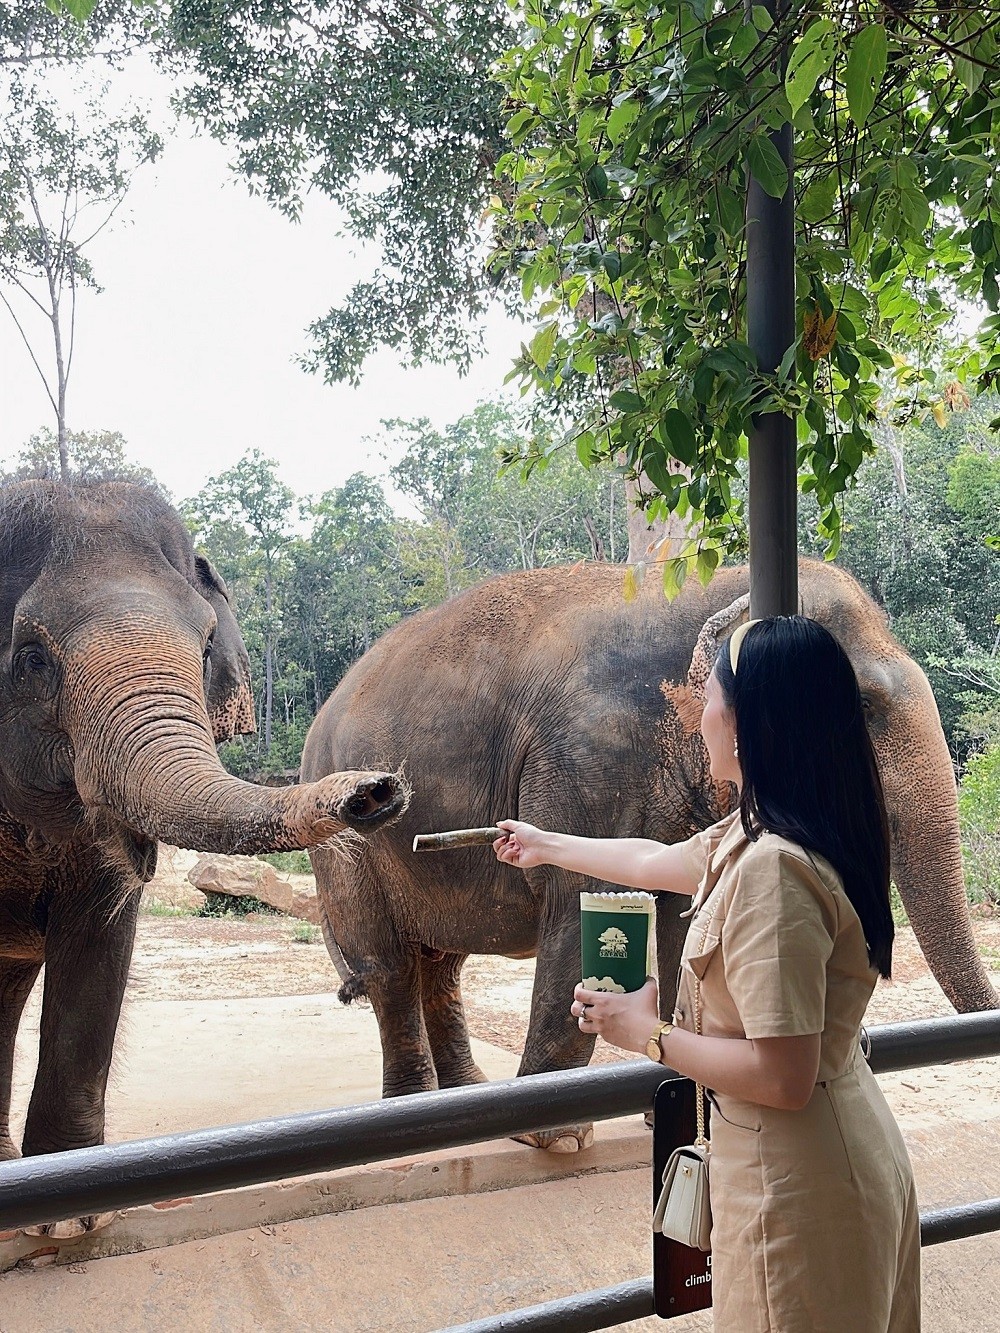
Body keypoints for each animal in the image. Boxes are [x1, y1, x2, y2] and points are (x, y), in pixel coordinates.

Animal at [304, 557, 1000, 1151]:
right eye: (859, 707)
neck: (703, 584)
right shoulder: (588, 759)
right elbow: (580, 902)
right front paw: (555, 1138)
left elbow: (671, 915)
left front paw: (672, 1107)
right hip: (344, 833)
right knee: (390, 966)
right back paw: (415, 1111)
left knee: (442, 964)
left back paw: (461, 1103)